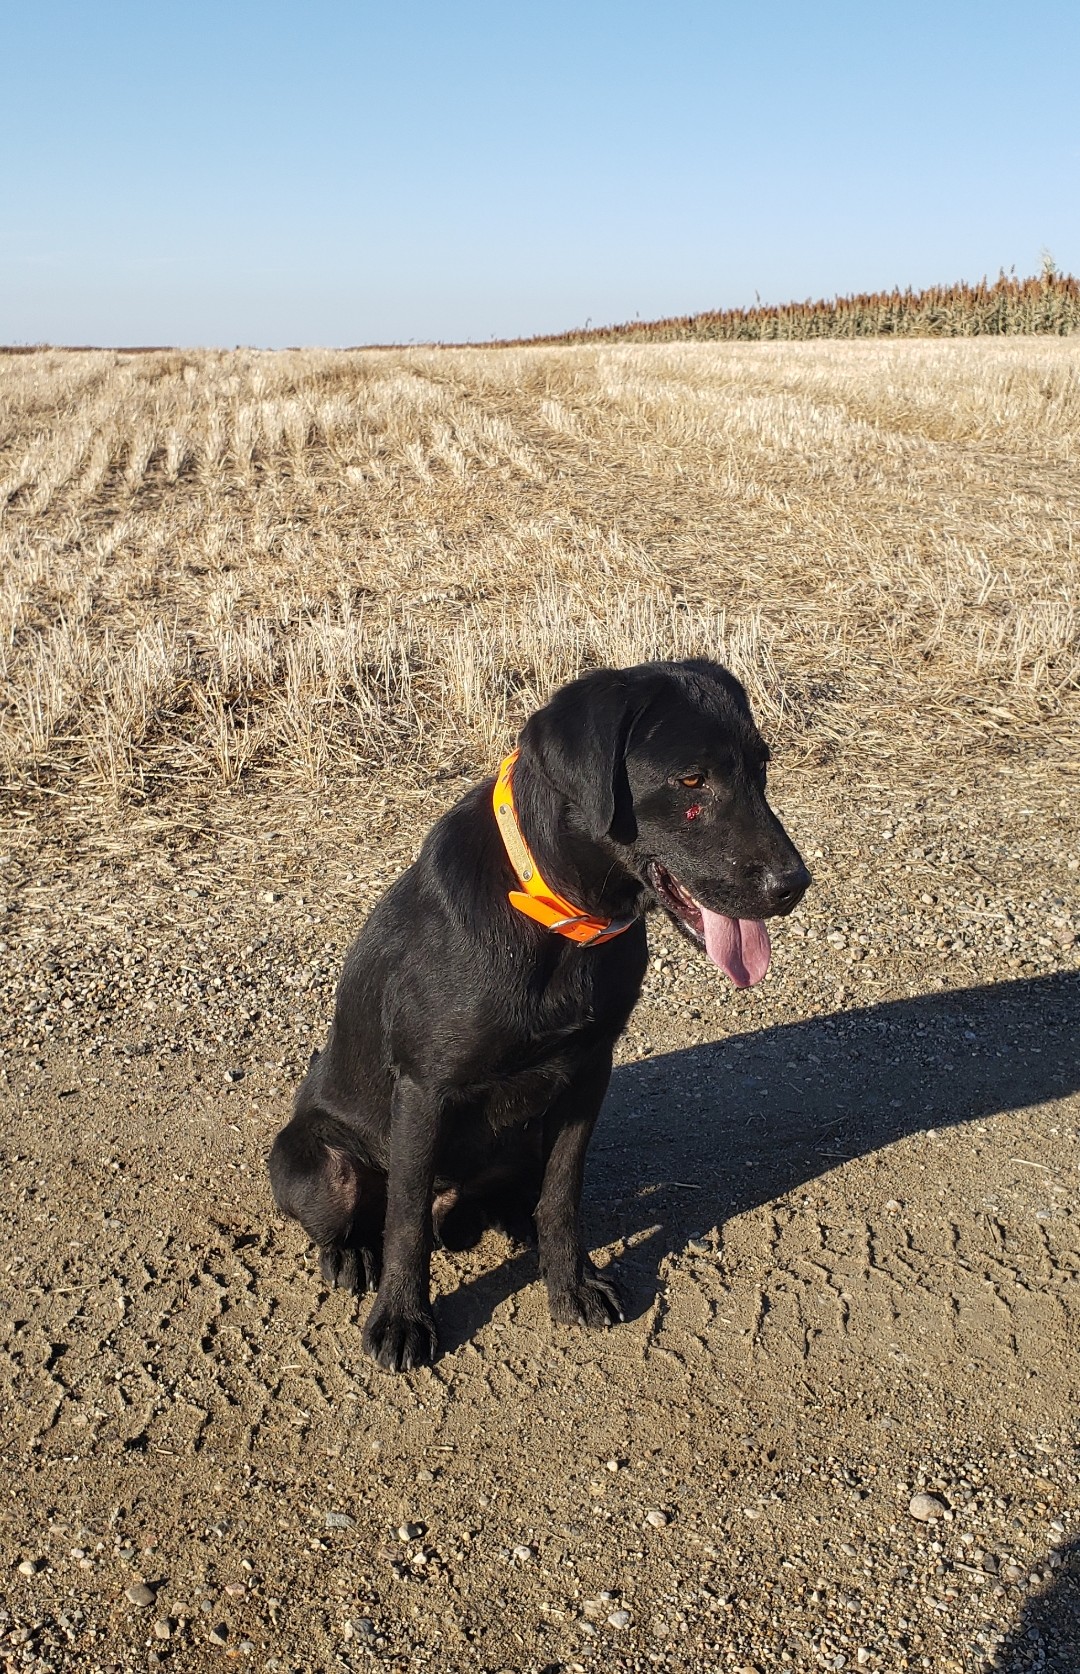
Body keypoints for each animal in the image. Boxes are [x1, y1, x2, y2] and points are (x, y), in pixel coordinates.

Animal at [269, 659, 810, 1365]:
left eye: (761, 769)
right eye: (691, 779)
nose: (794, 885)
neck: (556, 914)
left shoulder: (587, 1074)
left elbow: (562, 1195)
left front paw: (570, 1281)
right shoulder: (423, 1091)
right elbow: (406, 1223)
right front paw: (403, 1317)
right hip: (321, 1170)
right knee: (368, 1216)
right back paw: (351, 1256)